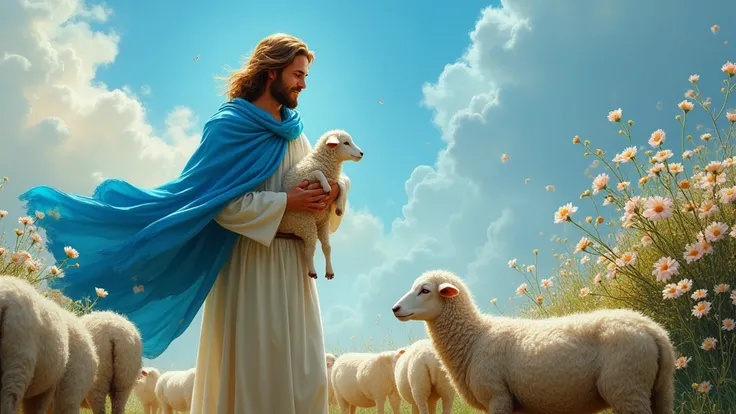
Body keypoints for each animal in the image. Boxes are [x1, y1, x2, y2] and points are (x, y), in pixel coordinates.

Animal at [278, 128, 364, 280]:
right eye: (346, 143)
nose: (362, 153)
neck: (320, 161)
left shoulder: (334, 179)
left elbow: (341, 185)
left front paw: (339, 207)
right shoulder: (306, 177)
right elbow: (317, 172)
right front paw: (326, 187)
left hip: (322, 224)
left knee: (327, 248)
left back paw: (329, 271)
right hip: (305, 223)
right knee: (309, 249)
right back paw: (312, 271)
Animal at [392, 268, 680, 414]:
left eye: (425, 290)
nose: (395, 308)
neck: (474, 339)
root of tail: (654, 331)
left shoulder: (498, 396)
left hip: (626, 386)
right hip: (660, 389)